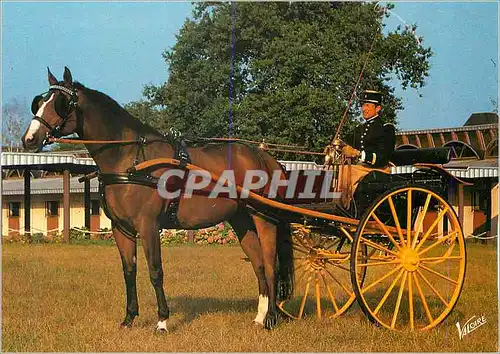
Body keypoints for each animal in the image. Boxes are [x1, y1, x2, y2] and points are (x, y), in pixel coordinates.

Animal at [21, 67, 292, 332]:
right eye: (40, 102)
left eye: (60, 102)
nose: (29, 139)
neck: (130, 159)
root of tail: (264, 157)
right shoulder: (121, 229)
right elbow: (129, 270)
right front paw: (129, 318)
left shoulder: (148, 225)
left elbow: (155, 271)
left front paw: (162, 321)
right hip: (241, 220)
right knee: (258, 264)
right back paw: (260, 317)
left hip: (264, 219)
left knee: (271, 264)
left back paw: (270, 319)